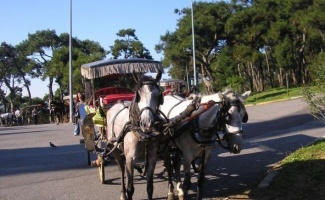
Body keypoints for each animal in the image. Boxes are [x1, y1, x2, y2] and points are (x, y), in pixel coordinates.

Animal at [105, 71, 163, 200]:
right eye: (138, 96)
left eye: (158, 96)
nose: (147, 123)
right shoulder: (130, 159)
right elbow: (130, 188)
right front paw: (127, 193)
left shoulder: (152, 158)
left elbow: (150, 187)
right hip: (115, 149)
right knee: (122, 171)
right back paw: (123, 194)